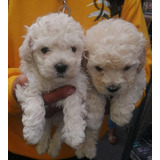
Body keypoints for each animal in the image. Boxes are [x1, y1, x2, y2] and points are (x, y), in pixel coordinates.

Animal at [15, 13, 88, 150]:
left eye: (73, 49)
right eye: (44, 50)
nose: (61, 66)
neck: (54, 82)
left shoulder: (76, 88)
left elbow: (74, 109)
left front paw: (75, 135)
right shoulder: (30, 84)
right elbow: (35, 105)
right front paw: (32, 133)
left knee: (59, 131)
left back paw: (54, 147)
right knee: (47, 128)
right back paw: (42, 145)